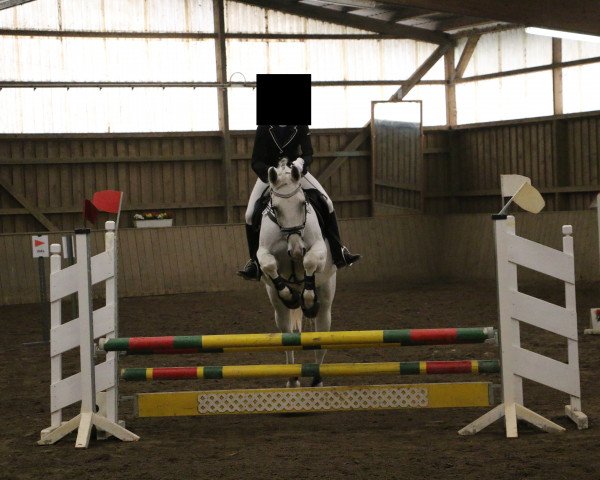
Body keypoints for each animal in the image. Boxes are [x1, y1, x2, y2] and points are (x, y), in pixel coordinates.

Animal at [254, 159, 336, 388]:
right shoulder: (263, 252)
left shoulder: (318, 249)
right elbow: (269, 265)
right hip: (278, 308)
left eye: (301, 203)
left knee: (320, 334)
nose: (297, 249)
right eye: (276, 208)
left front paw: (308, 300)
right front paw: (290, 296)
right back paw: (292, 379)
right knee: (287, 335)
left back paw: (317, 380)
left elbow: (310, 261)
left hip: (326, 298)